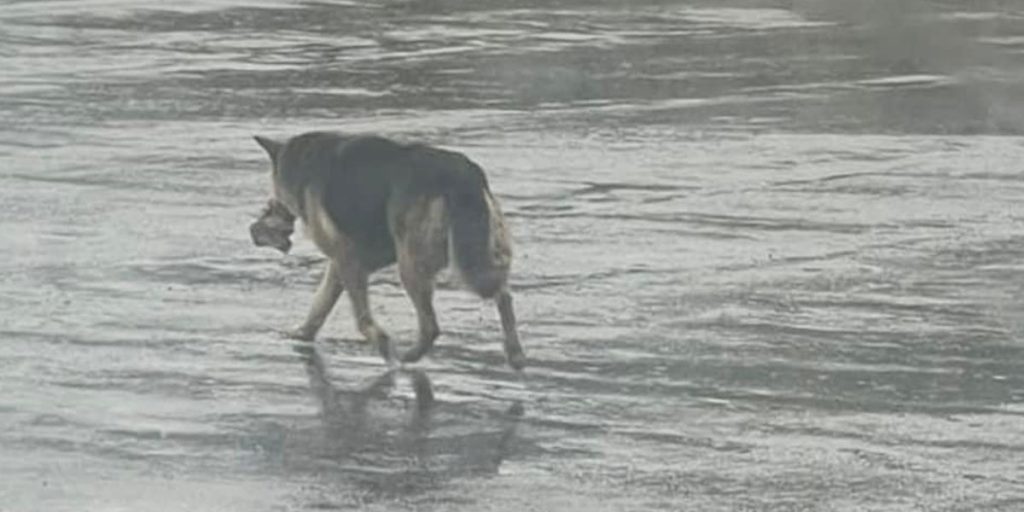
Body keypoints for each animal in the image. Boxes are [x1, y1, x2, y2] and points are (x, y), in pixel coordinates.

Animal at [244, 132, 524, 370]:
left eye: (272, 202)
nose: (255, 227)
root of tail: (463, 174)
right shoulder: (345, 262)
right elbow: (320, 304)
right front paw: (303, 334)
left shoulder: (347, 260)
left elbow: (360, 316)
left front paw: (381, 343)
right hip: (475, 254)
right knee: (503, 294)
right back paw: (515, 353)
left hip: (413, 266)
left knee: (431, 325)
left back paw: (407, 358)